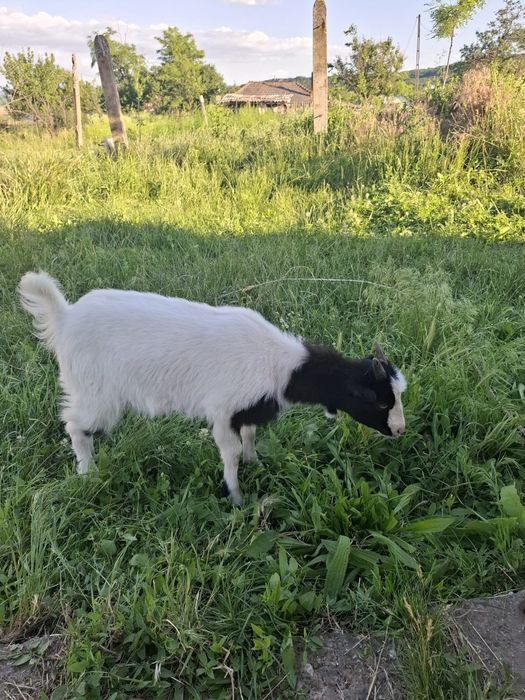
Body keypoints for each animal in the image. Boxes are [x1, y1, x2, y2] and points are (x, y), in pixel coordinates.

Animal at [18, 272, 407, 505]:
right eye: (377, 400)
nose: (401, 431)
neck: (279, 365)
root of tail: (64, 318)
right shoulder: (223, 410)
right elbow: (230, 453)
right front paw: (236, 497)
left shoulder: (248, 409)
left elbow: (250, 437)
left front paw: (256, 464)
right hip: (95, 391)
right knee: (76, 425)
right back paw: (87, 473)